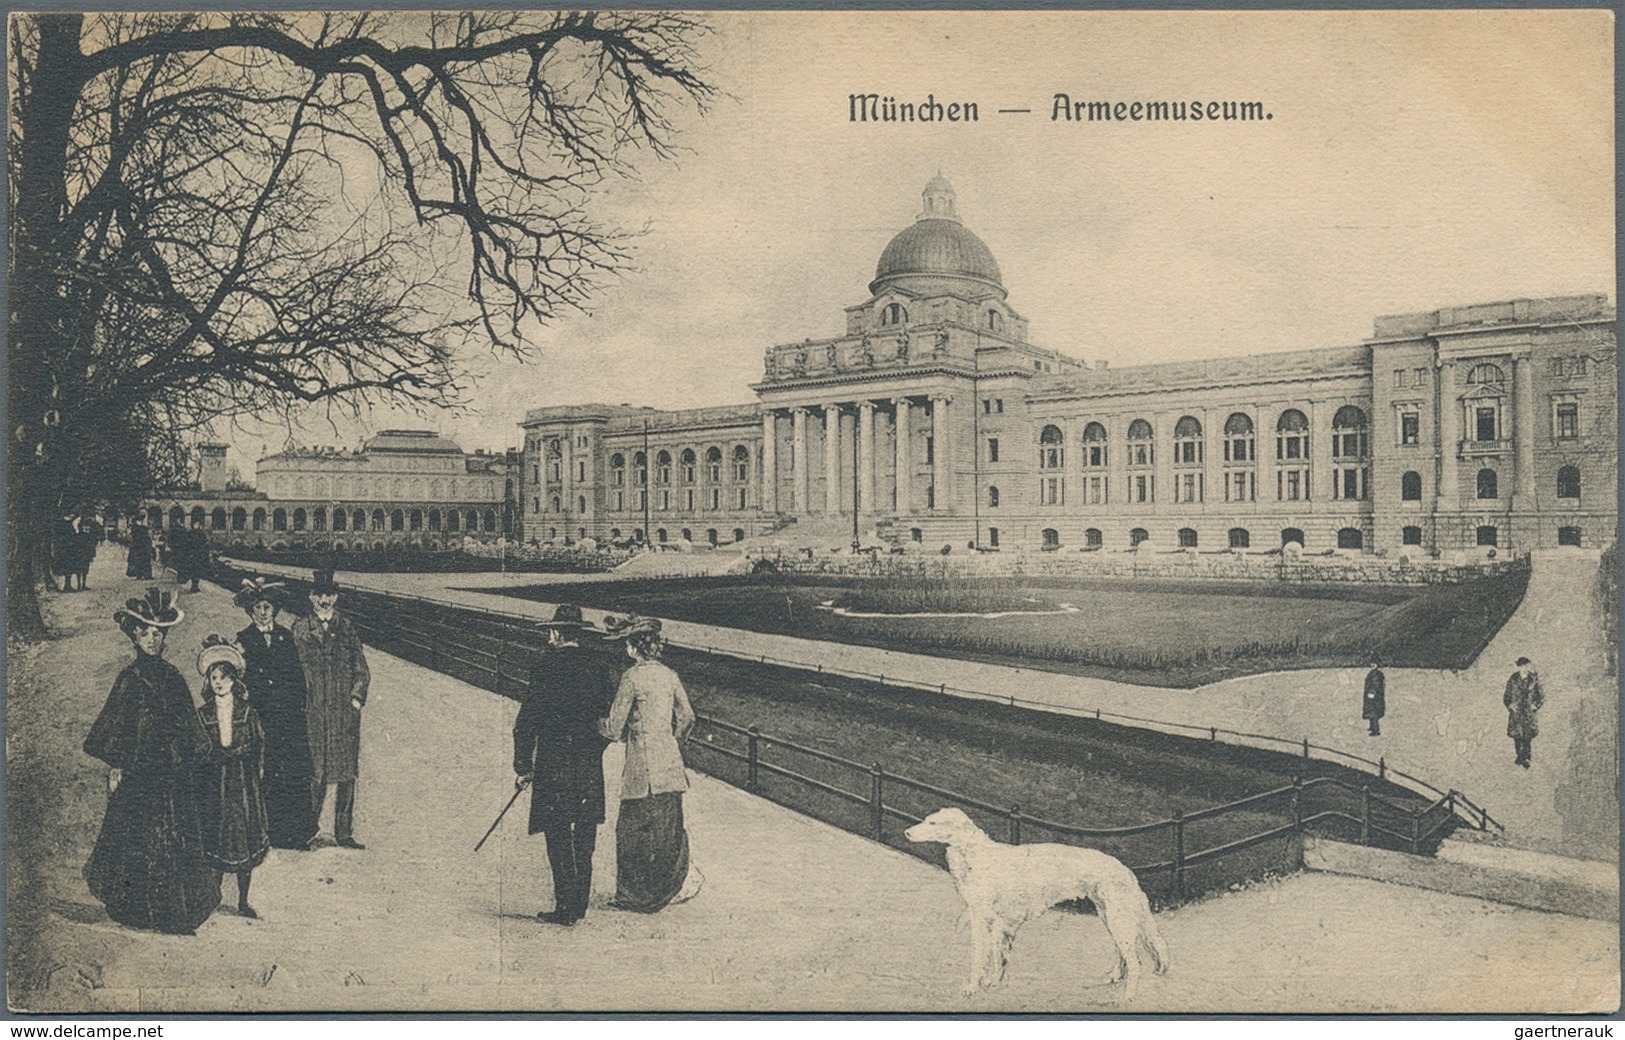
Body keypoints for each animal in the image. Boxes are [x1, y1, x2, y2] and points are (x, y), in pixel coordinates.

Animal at [903, 809, 1170, 994]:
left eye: (933, 823)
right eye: (926, 819)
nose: (906, 832)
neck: (976, 856)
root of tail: (1126, 870)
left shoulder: (981, 918)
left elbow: (979, 956)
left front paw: (972, 987)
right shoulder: (1000, 923)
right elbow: (997, 956)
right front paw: (993, 982)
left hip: (1117, 917)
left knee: (1135, 962)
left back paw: (1128, 997)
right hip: (1111, 916)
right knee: (1123, 953)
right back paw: (1114, 976)